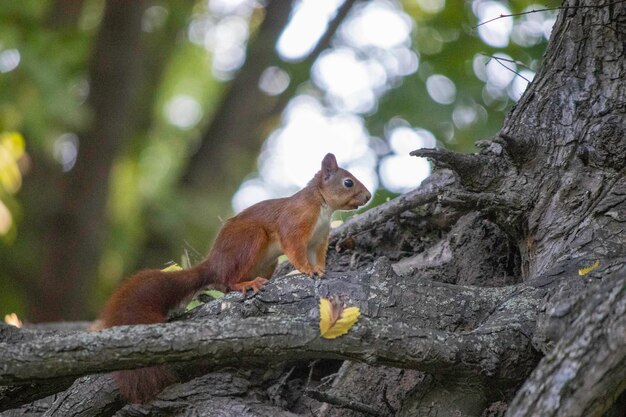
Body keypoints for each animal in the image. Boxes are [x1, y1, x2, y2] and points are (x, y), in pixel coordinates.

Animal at [99, 154, 368, 404]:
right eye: (348, 182)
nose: (367, 197)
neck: (322, 207)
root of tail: (214, 264)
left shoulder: (319, 240)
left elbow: (318, 258)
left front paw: (320, 270)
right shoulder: (294, 225)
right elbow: (294, 250)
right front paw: (306, 270)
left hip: (266, 263)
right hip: (250, 239)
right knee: (228, 281)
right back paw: (246, 284)